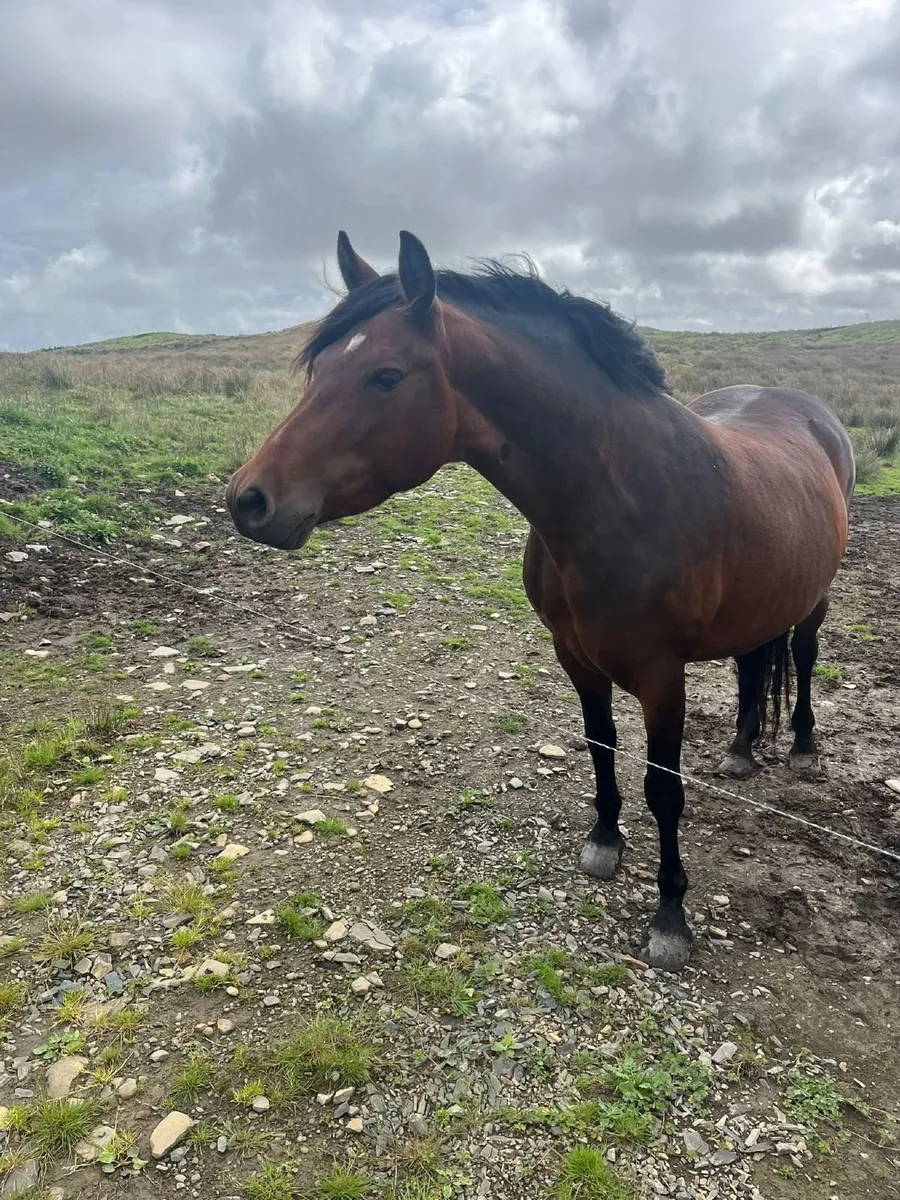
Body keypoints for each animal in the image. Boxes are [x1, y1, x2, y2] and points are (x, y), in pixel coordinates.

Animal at [226, 230, 855, 971]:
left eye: (386, 375)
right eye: (318, 369)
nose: (248, 499)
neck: (617, 500)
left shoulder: (661, 676)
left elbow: (664, 790)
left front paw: (671, 914)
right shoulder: (575, 658)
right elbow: (600, 747)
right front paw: (605, 841)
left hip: (815, 599)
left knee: (804, 657)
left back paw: (803, 746)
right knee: (754, 664)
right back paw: (738, 747)